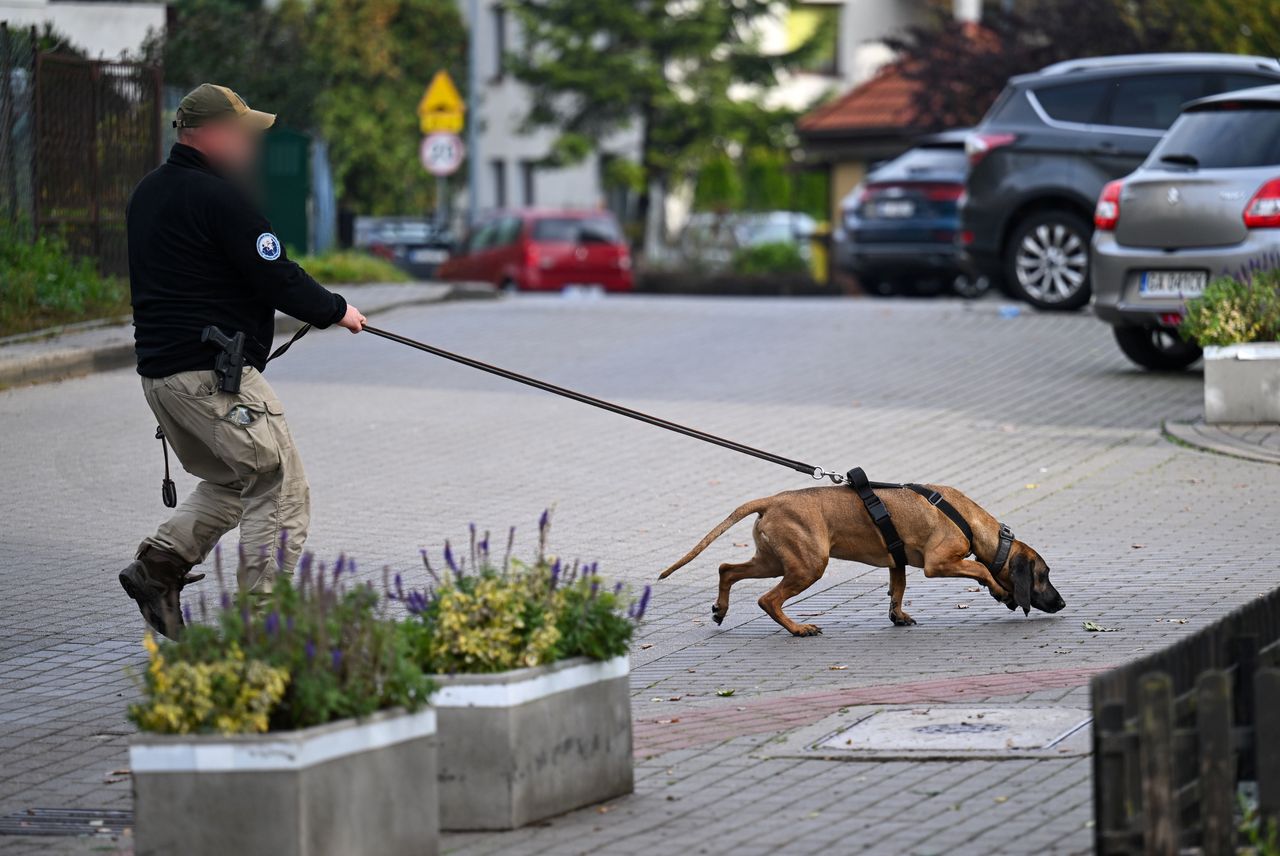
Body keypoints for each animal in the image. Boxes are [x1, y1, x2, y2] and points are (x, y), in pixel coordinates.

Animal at [655, 481, 1064, 634]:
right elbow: (981, 568)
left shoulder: (898, 563)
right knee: (767, 599)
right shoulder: (939, 564)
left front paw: (898, 616)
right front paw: (1001, 592)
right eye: (1043, 575)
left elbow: (897, 590)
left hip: (773, 561)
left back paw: (721, 609)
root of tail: (772, 500)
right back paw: (798, 628)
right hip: (808, 566)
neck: (969, 520)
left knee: (726, 569)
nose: (1061, 603)